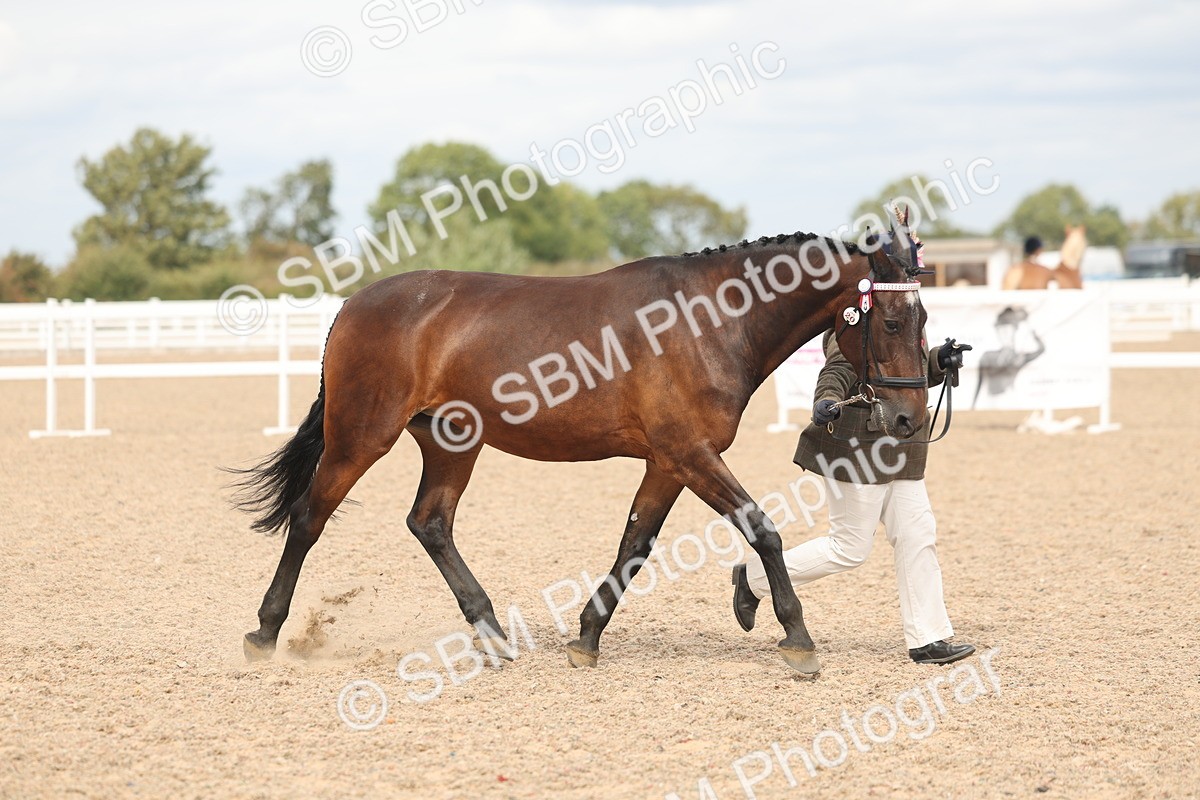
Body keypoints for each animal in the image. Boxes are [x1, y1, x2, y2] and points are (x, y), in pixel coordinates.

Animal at [231, 222, 931, 676]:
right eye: (894, 321)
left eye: (924, 321)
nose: (905, 418)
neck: (709, 319)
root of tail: (355, 304)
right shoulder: (692, 454)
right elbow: (763, 530)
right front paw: (798, 637)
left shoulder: (668, 462)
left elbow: (635, 546)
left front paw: (587, 637)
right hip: (361, 436)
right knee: (309, 518)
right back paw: (265, 632)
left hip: (451, 443)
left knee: (429, 521)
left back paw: (492, 634)